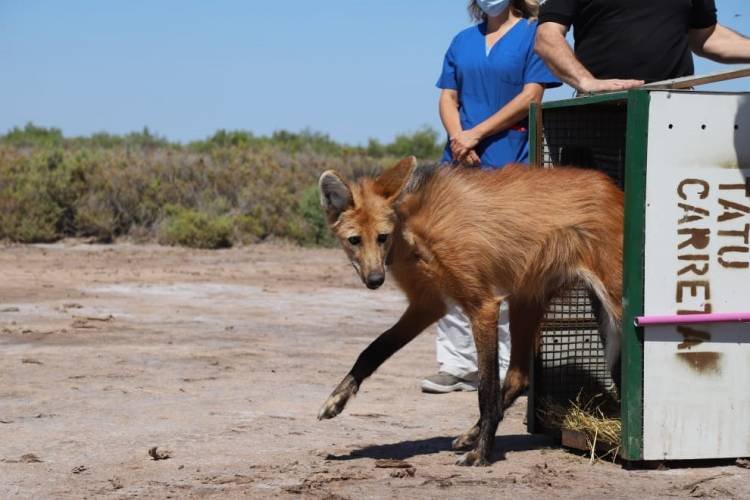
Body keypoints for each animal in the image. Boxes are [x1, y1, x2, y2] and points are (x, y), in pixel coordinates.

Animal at [320, 156, 624, 464]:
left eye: (382, 237)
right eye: (355, 240)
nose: (375, 280)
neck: (414, 231)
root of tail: (615, 189)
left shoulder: (483, 306)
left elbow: (485, 388)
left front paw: (482, 454)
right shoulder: (428, 305)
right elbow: (374, 349)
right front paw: (336, 400)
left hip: (615, 303)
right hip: (526, 300)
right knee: (518, 378)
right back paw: (470, 434)